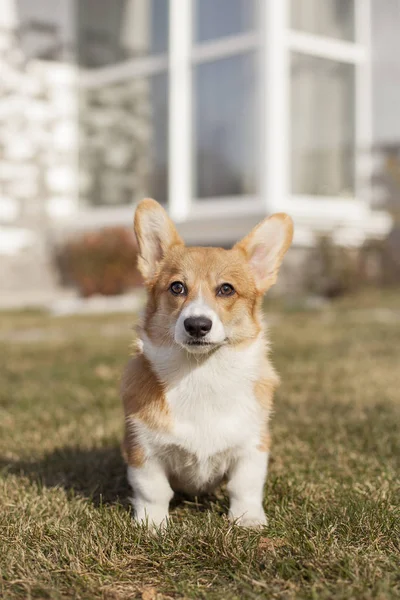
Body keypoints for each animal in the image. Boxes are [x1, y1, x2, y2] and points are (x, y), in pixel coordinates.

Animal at [120, 199, 292, 528]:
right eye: (177, 287)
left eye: (226, 289)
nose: (197, 325)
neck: (201, 374)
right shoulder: (143, 449)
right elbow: (153, 490)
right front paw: (152, 525)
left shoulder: (252, 445)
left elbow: (245, 486)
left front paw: (248, 520)